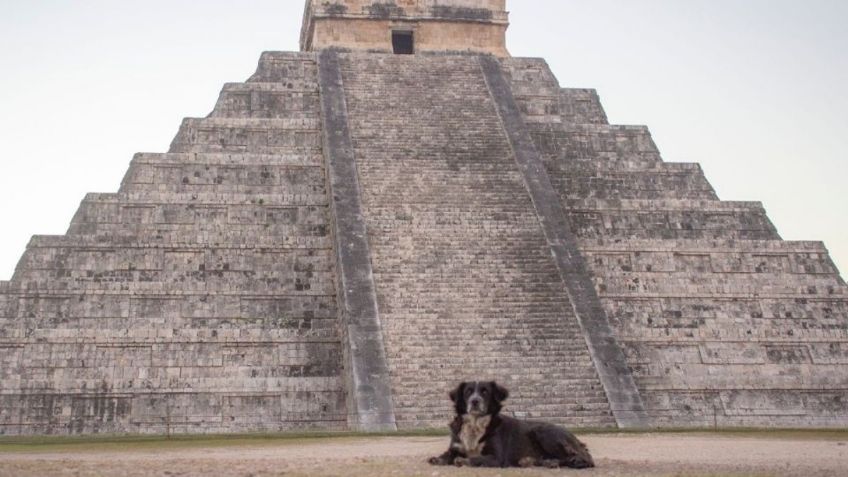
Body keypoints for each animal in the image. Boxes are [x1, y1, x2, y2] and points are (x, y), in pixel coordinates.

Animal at [428, 380, 592, 468]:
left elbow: (477, 458)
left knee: (583, 458)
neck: (475, 423)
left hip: (544, 433)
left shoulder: (496, 457)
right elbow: (447, 454)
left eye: (485, 392)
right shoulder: (456, 445)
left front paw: (463, 460)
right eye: (468, 391)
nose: (475, 401)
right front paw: (439, 459)